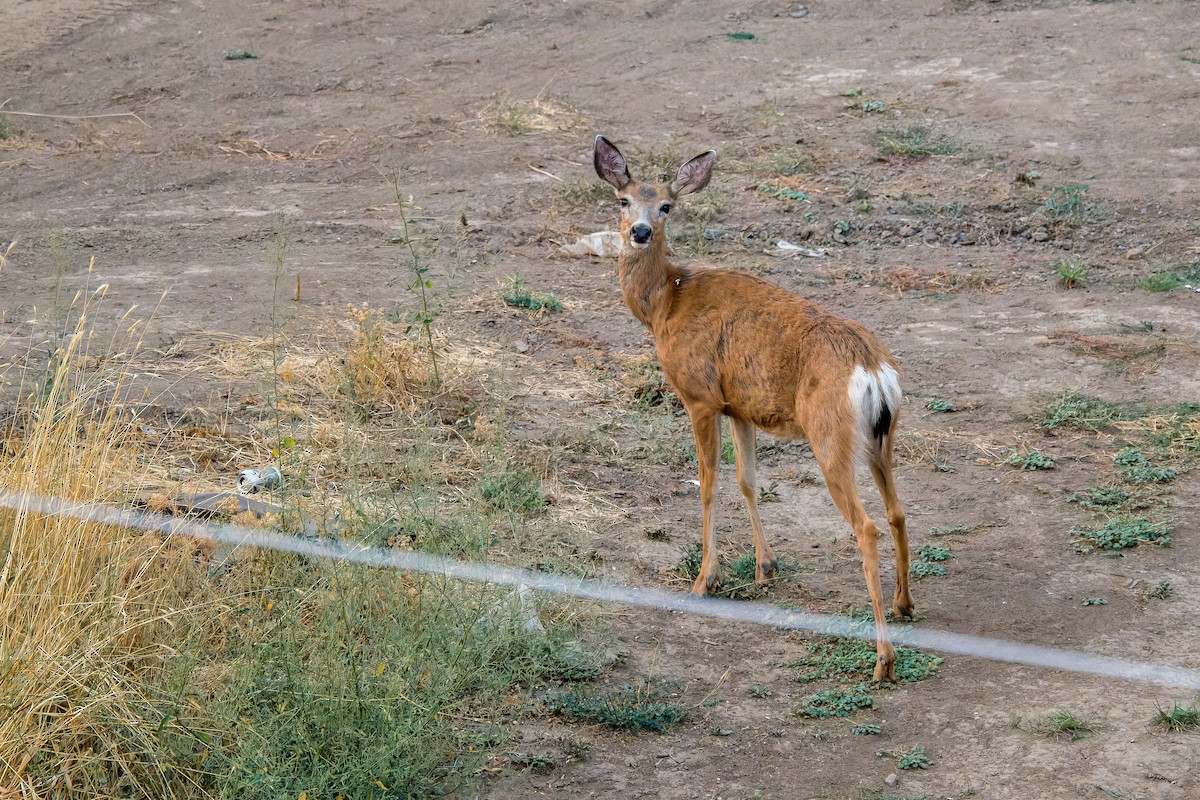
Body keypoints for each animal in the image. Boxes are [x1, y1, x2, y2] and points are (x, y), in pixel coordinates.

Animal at [593, 135, 913, 681]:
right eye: (623, 200)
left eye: (667, 206)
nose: (639, 231)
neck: (665, 301)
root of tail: (871, 369)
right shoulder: (739, 407)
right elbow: (748, 481)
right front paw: (766, 567)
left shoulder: (700, 396)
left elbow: (709, 484)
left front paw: (706, 579)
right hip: (881, 440)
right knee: (898, 513)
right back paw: (904, 605)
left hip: (831, 437)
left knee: (867, 527)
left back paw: (883, 660)